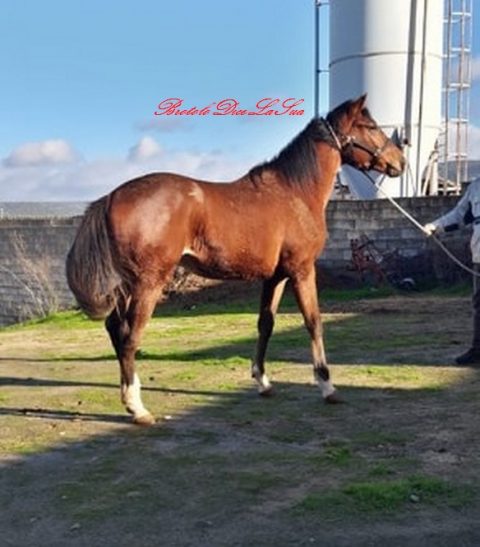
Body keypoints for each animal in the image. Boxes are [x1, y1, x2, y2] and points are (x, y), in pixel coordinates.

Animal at [66, 96, 404, 426]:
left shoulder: (275, 277)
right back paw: (138, 408)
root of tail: (111, 197)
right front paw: (327, 386)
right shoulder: (302, 271)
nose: (400, 161)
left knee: (115, 329)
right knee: (130, 337)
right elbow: (313, 322)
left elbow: (265, 324)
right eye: (370, 126)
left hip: (127, 285)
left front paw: (263, 382)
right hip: (148, 283)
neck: (295, 191)